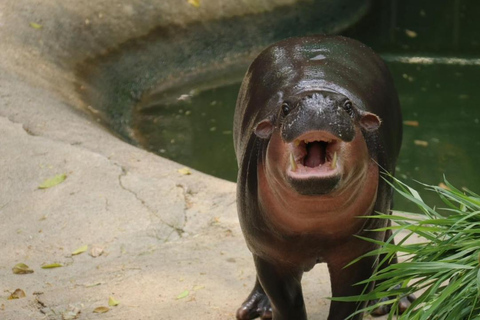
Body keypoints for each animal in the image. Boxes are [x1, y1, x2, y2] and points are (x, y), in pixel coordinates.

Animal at [234, 35, 410, 320]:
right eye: (285, 108)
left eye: (348, 106)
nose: (317, 101)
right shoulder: (271, 258)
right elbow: (287, 305)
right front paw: (271, 308)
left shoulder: (358, 255)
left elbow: (348, 304)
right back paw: (257, 309)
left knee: (388, 237)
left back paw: (393, 301)